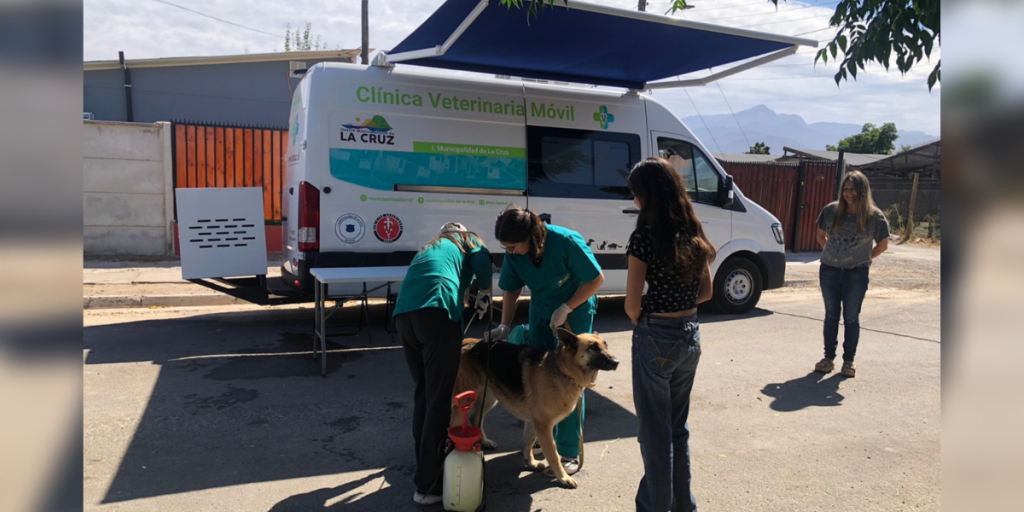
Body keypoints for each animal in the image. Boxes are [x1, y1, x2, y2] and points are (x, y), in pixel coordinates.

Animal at [452, 327, 618, 487]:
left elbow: (528, 443)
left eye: (606, 345)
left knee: (475, 417)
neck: (563, 370)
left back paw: (484, 441)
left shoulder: (534, 423)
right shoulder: (544, 427)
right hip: (463, 401)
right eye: (593, 347)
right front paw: (563, 478)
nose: (617, 362)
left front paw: (530, 462)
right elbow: (553, 456)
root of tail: (466, 342)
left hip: (489, 398)